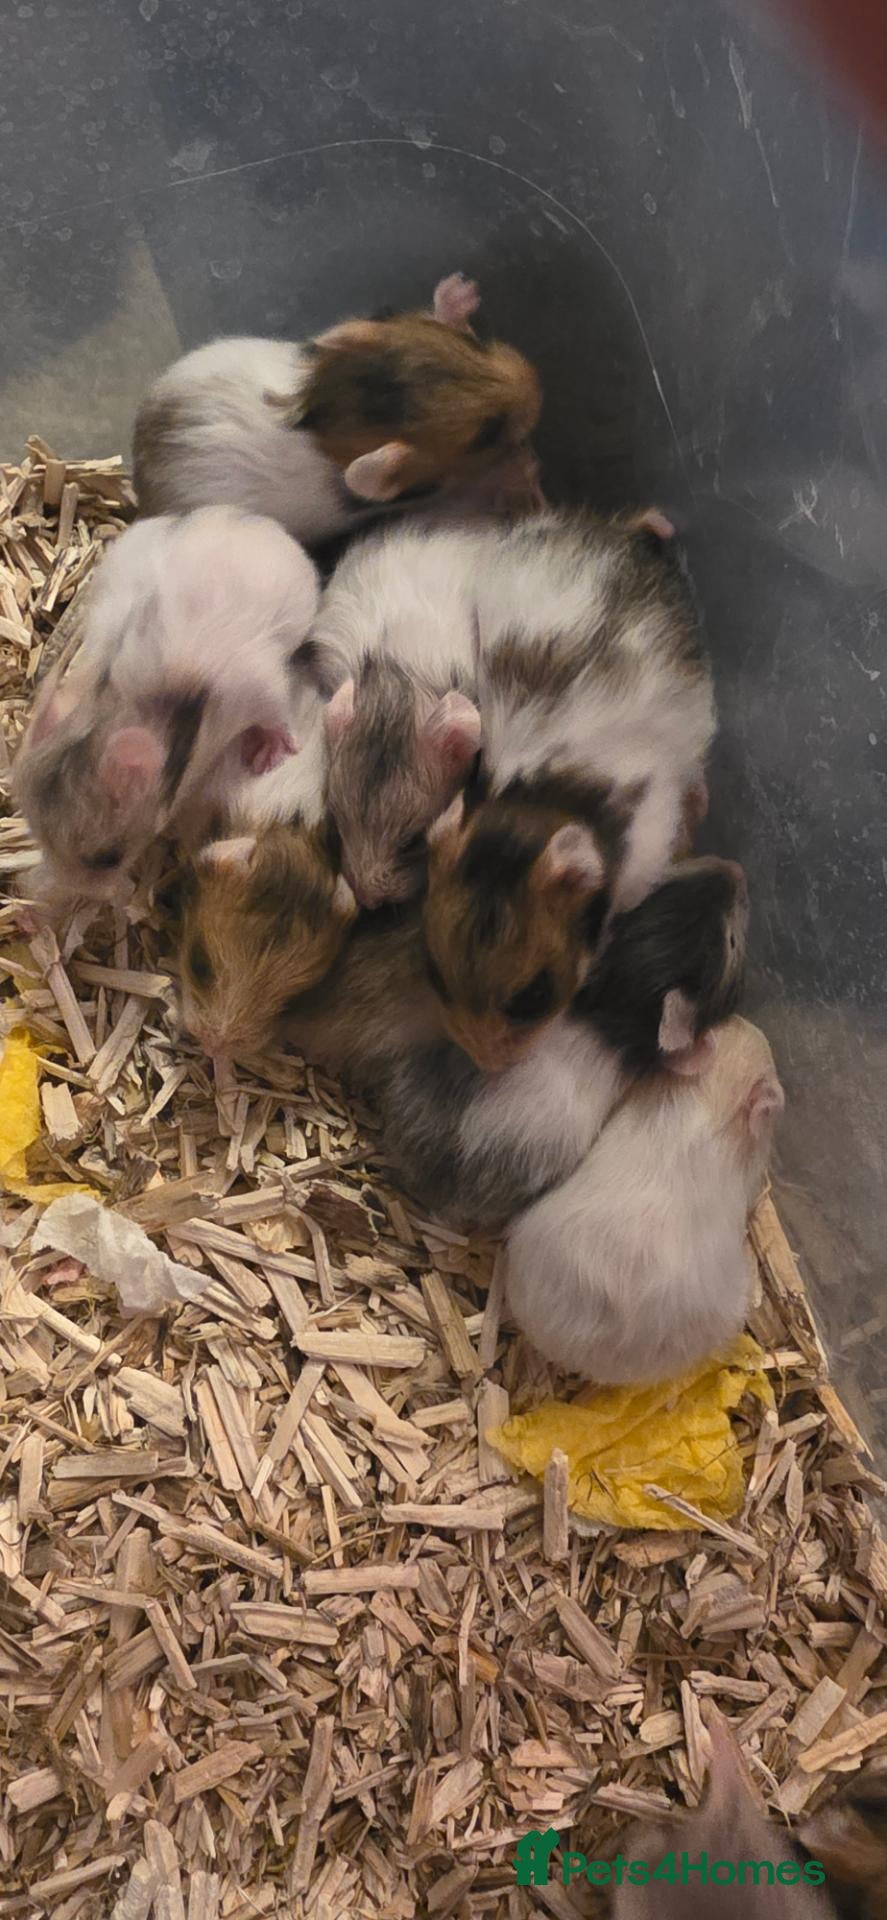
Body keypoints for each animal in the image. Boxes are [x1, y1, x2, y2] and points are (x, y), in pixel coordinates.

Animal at [14, 508, 319, 903]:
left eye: (108, 858)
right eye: (36, 832)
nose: (75, 893)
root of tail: (256, 518)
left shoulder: (259, 687)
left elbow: (277, 718)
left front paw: (269, 754)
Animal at [133, 274, 541, 544]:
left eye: (472, 344)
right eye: (488, 432)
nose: (538, 388)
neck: (324, 415)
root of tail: (138, 476)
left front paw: (461, 288)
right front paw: (522, 468)